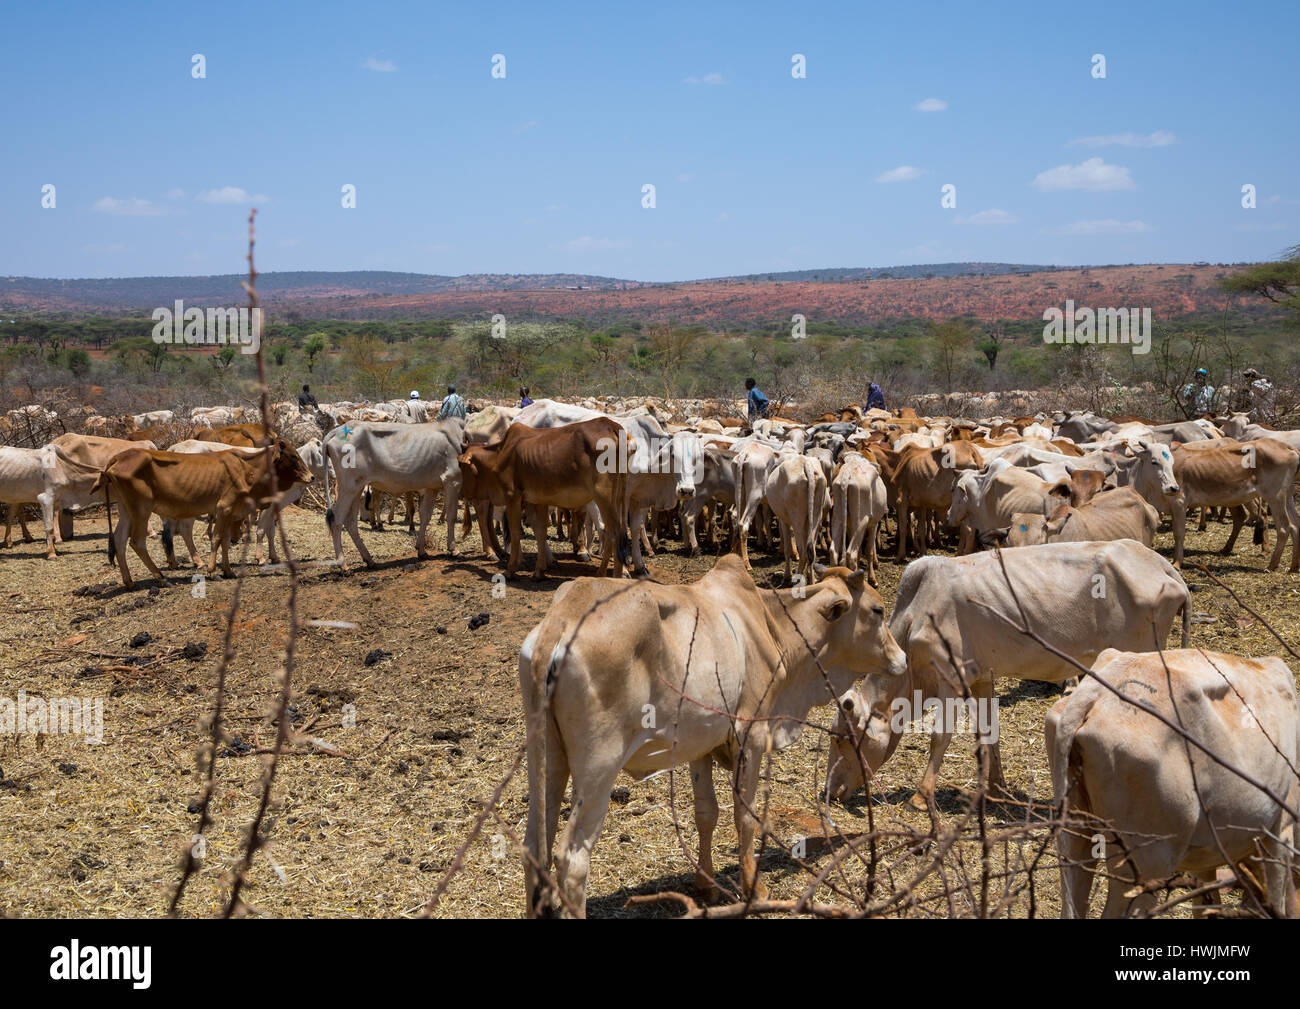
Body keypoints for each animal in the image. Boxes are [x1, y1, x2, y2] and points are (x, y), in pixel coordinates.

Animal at [457, 416, 634, 574]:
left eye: (462, 466)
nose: (462, 493)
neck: (499, 454)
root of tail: (611, 425)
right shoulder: (537, 500)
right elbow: (541, 531)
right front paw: (540, 570)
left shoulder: (512, 496)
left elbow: (516, 532)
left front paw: (511, 569)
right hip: (618, 497)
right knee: (616, 533)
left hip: (604, 498)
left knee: (613, 534)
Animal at [517, 556, 904, 920]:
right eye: (877, 610)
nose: (901, 658)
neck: (771, 626)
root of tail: (560, 621)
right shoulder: (751, 734)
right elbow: (745, 816)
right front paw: (753, 888)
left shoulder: (700, 744)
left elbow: (706, 813)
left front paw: (705, 884)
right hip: (600, 764)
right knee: (571, 859)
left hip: (547, 757)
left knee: (535, 844)